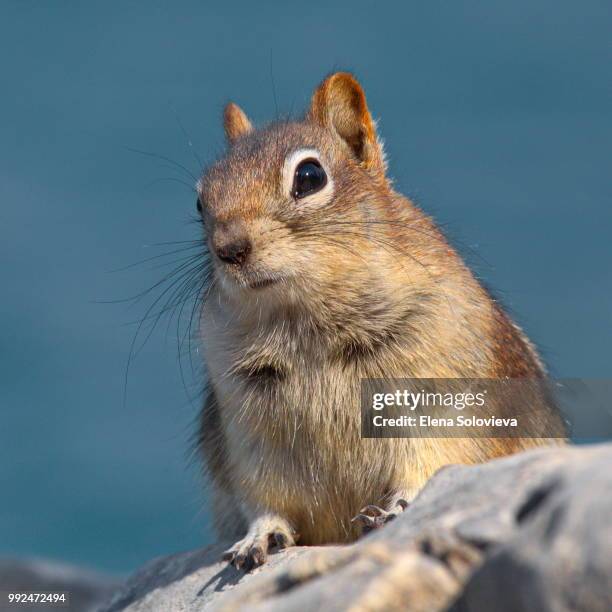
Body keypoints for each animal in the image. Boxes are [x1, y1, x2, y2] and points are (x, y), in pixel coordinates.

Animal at [195, 74, 564, 572]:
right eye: (200, 200)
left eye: (309, 177)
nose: (229, 248)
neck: (304, 321)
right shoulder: (249, 434)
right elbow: (263, 498)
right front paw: (259, 536)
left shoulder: (437, 398)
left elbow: (430, 460)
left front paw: (397, 508)